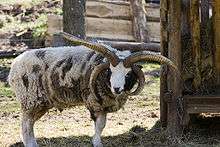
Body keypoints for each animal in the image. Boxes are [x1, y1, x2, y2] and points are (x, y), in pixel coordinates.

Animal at [8, 32, 179, 147]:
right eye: (110, 71)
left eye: (128, 73)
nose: (117, 88)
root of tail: (13, 67)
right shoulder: (95, 102)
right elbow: (100, 124)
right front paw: (97, 142)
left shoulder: (104, 103)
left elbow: (102, 125)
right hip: (29, 100)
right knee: (25, 125)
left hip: (40, 102)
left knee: (29, 124)